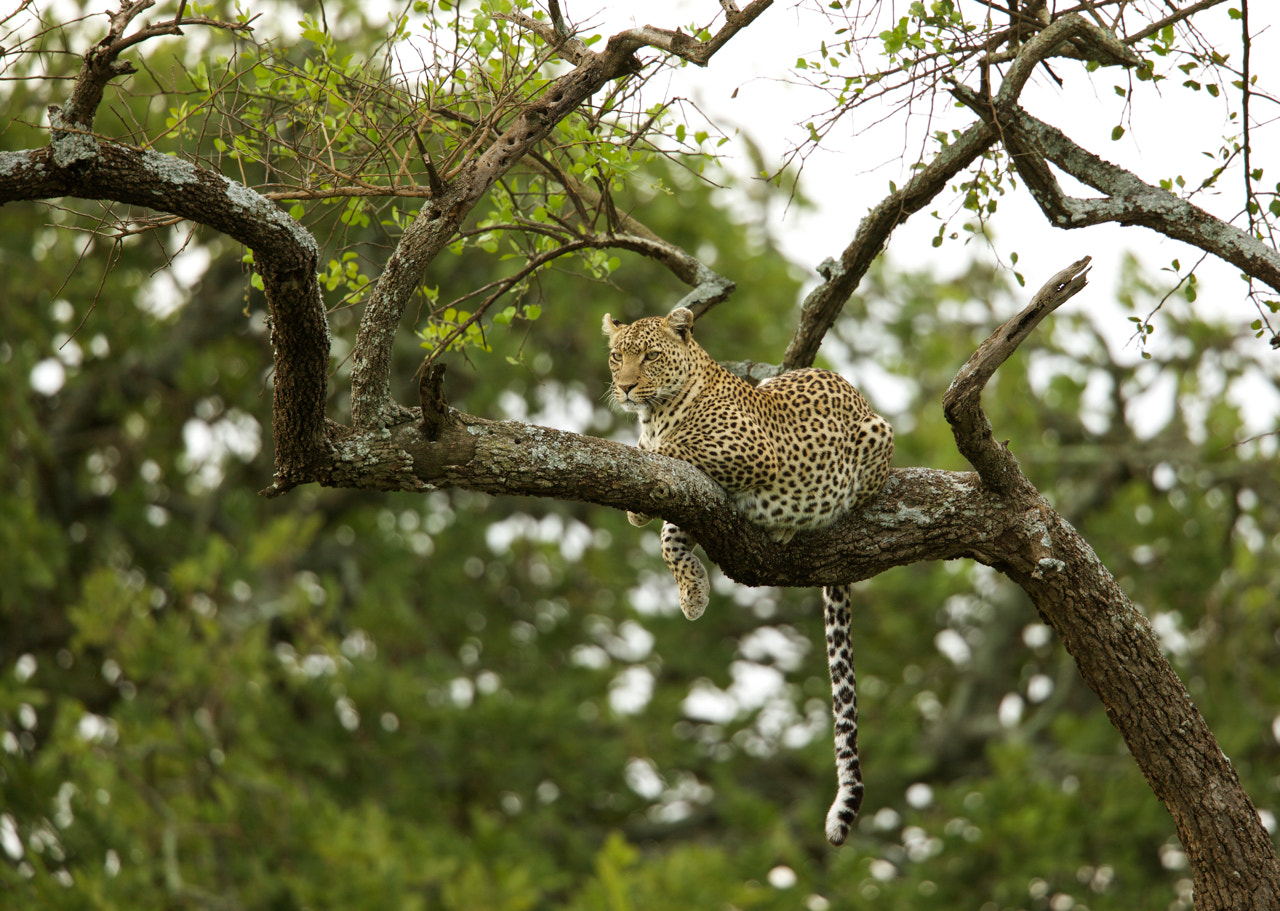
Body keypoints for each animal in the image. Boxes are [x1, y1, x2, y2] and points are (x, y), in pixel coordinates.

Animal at [603, 306, 894, 847]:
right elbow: (671, 534)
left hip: (875, 440)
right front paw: (692, 592)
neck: (655, 415)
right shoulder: (691, 497)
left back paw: (789, 526)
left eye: (649, 356)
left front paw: (643, 498)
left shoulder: (745, 451)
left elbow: (674, 450)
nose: (626, 387)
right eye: (617, 356)